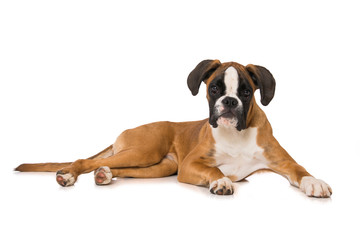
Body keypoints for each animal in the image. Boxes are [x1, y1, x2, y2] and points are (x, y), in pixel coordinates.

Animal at [15, 59, 334, 197]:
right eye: (215, 89)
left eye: (246, 92)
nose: (229, 102)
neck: (236, 134)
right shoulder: (192, 165)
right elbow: (214, 171)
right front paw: (221, 182)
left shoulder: (283, 162)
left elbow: (300, 170)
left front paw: (314, 182)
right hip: (145, 151)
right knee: (84, 160)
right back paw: (68, 174)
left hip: (158, 166)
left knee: (113, 167)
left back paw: (104, 175)